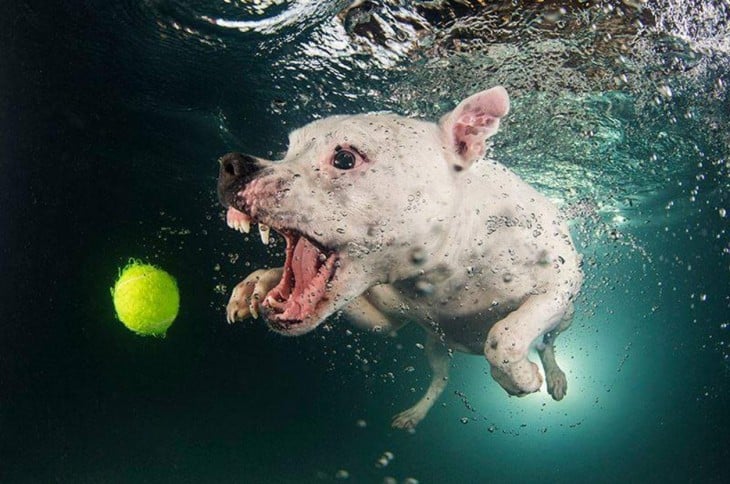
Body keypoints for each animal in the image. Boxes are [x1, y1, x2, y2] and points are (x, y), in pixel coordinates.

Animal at [215, 87, 580, 428]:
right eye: (286, 151)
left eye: (345, 159)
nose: (231, 164)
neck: (437, 275)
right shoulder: (386, 318)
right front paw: (259, 283)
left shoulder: (560, 281)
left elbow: (504, 337)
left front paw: (522, 377)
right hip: (435, 345)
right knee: (440, 376)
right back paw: (415, 414)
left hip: (565, 316)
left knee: (548, 343)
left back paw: (554, 376)